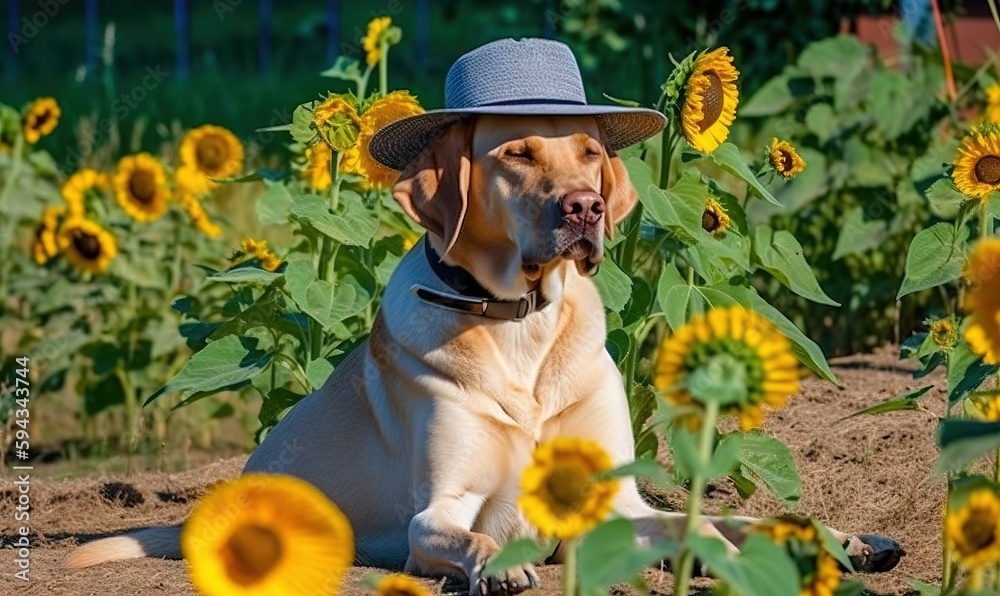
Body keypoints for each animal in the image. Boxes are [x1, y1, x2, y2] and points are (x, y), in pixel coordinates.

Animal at [66, 39, 904, 592]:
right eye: (519, 154)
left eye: (590, 151)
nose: (586, 207)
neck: (517, 320)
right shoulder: (443, 508)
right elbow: (455, 532)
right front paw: (500, 568)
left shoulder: (620, 500)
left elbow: (704, 525)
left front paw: (774, 552)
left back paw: (845, 542)